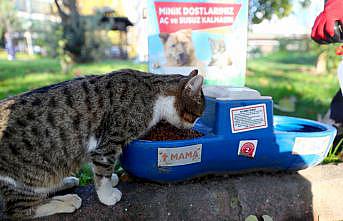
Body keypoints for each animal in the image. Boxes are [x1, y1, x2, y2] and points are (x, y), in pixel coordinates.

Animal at [0, 69, 204, 219]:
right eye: (196, 115)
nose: (193, 125)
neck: (153, 94)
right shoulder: (107, 145)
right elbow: (103, 172)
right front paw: (107, 195)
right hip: (27, 176)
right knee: (18, 210)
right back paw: (67, 201)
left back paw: (66, 182)